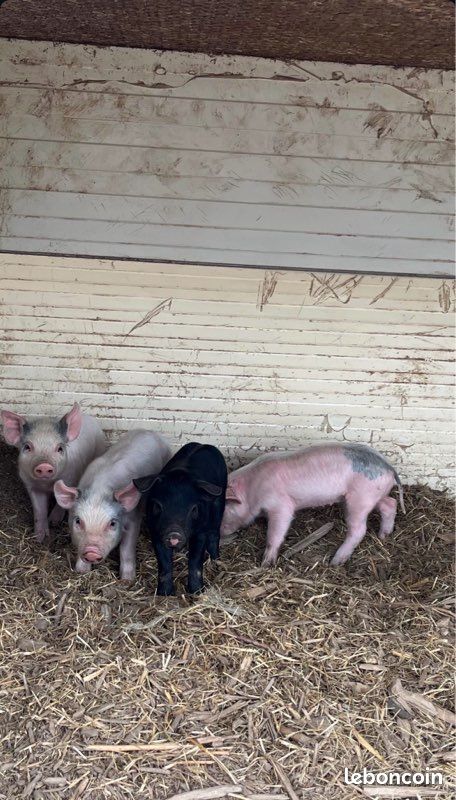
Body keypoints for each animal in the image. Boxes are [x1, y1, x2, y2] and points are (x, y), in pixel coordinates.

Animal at [1, 403, 107, 543]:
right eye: (27, 447)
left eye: (60, 448)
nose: (44, 465)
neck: (48, 485)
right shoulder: (31, 486)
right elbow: (39, 510)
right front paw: (40, 538)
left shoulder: (72, 478)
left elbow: (62, 502)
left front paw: (54, 522)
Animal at [53, 429, 171, 581]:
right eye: (78, 521)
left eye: (112, 523)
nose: (92, 551)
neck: (99, 490)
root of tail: (150, 432)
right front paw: (81, 571)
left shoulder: (133, 518)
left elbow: (126, 549)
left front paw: (127, 580)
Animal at [131, 442, 227, 595]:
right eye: (158, 506)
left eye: (193, 509)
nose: (174, 533)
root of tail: (204, 444)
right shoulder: (156, 532)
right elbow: (164, 564)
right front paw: (164, 594)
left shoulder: (200, 532)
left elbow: (195, 560)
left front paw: (196, 592)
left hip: (220, 502)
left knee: (214, 535)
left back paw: (216, 562)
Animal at [220, 443, 405, 567]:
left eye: (223, 510)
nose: (221, 534)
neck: (252, 490)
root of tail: (389, 467)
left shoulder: (280, 504)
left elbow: (276, 532)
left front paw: (266, 563)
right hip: (374, 495)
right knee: (390, 503)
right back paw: (384, 535)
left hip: (360, 498)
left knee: (359, 529)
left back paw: (335, 562)